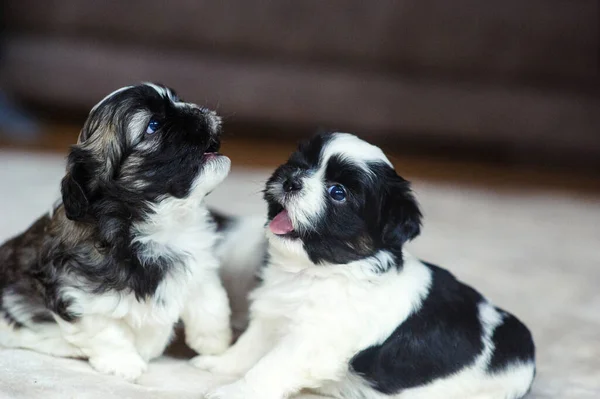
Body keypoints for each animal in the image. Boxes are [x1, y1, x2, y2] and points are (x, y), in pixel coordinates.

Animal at [0, 84, 233, 382]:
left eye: (177, 99)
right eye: (153, 125)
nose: (199, 110)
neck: (162, 226)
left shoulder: (200, 264)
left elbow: (211, 302)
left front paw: (215, 344)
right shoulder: (77, 293)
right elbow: (106, 331)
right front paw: (124, 364)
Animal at [195, 134, 536, 399]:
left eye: (338, 193)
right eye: (298, 164)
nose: (291, 180)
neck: (318, 271)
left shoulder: (313, 340)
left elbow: (270, 367)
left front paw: (233, 392)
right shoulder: (273, 314)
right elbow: (250, 346)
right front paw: (220, 364)